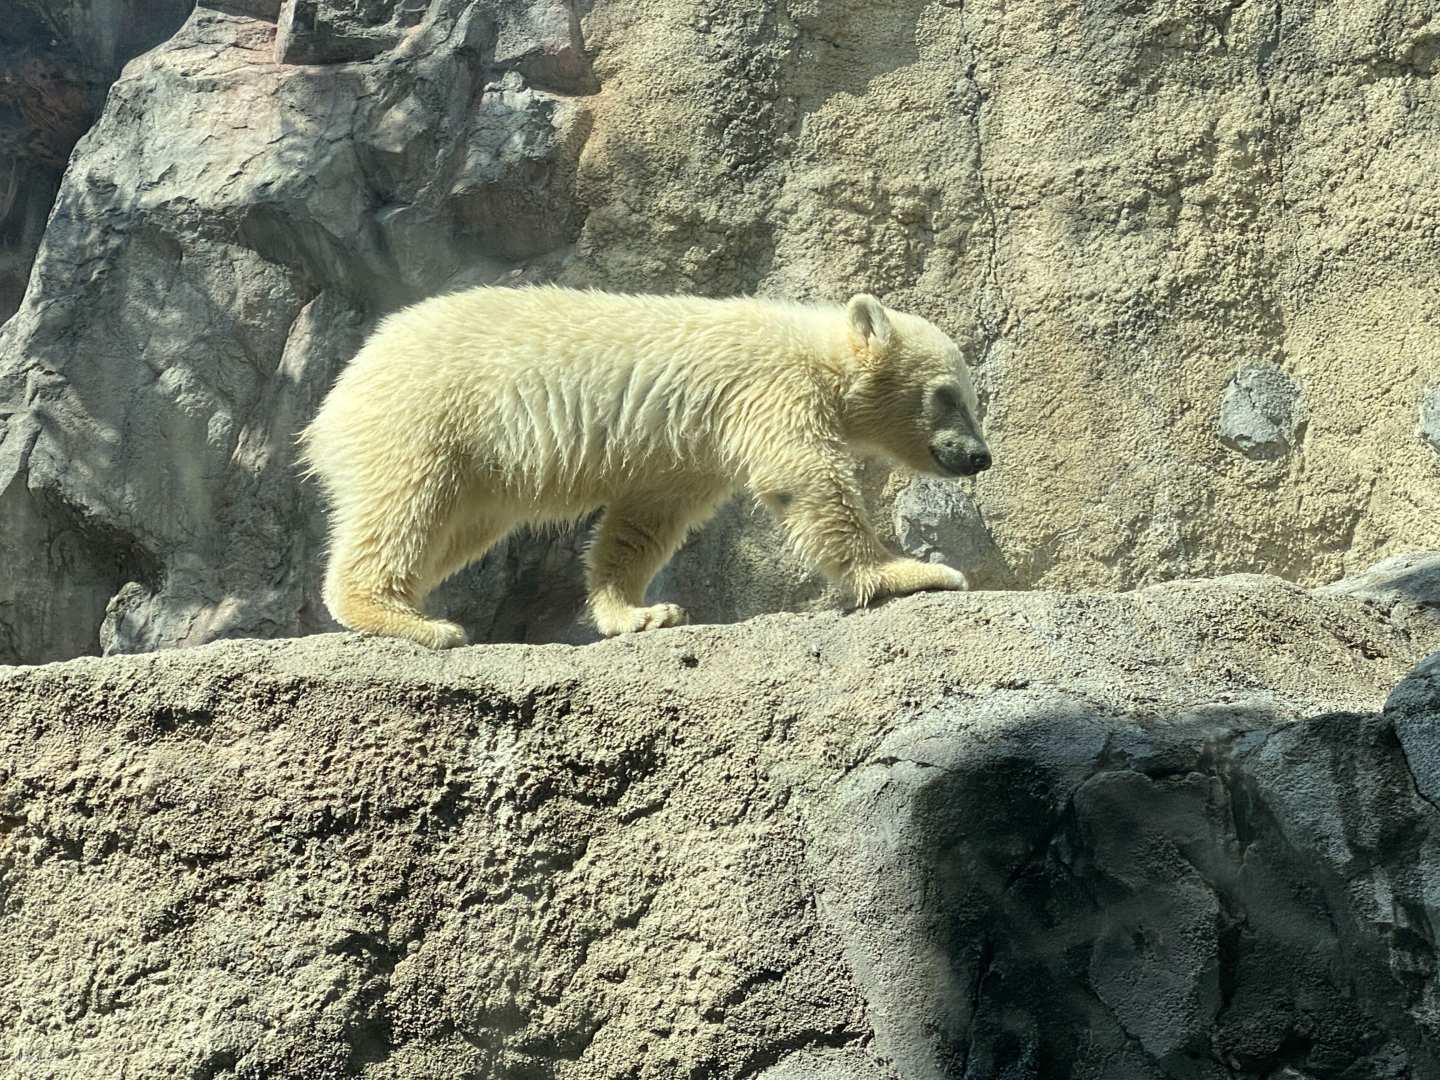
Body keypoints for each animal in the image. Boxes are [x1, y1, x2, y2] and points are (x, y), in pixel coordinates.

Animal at [298, 286, 991, 648]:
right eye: (947, 394)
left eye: (971, 396)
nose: (980, 456)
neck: (814, 347)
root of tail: (340, 391)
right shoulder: (769, 391)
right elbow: (806, 479)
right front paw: (917, 572)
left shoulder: (689, 454)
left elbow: (644, 521)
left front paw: (638, 612)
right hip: (428, 418)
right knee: (405, 508)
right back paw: (411, 620)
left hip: (474, 465)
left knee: (454, 528)